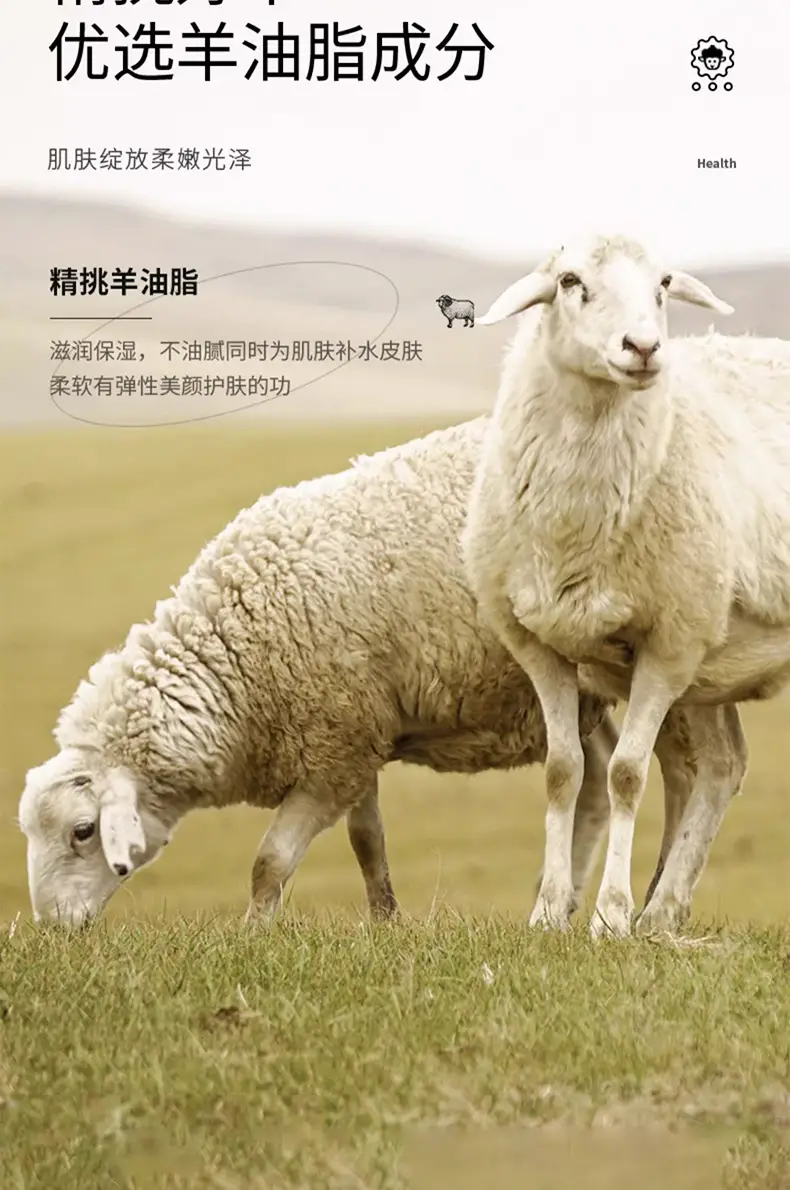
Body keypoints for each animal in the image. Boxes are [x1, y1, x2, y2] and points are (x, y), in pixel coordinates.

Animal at [17, 416, 695, 930]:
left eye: (83, 831)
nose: (51, 929)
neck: (234, 650)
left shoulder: (333, 753)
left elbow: (269, 861)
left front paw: (252, 935)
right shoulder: (351, 734)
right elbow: (368, 842)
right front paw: (385, 921)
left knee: (686, 776)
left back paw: (645, 906)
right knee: (597, 779)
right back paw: (572, 899)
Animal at [462, 231, 790, 939]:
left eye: (664, 284)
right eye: (569, 281)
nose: (643, 348)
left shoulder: (669, 646)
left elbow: (625, 775)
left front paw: (609, 914)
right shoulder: (538, 644)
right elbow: (563, 773)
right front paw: (548, 912)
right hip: (709, 655)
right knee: (722, 765)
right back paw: (663, 912)